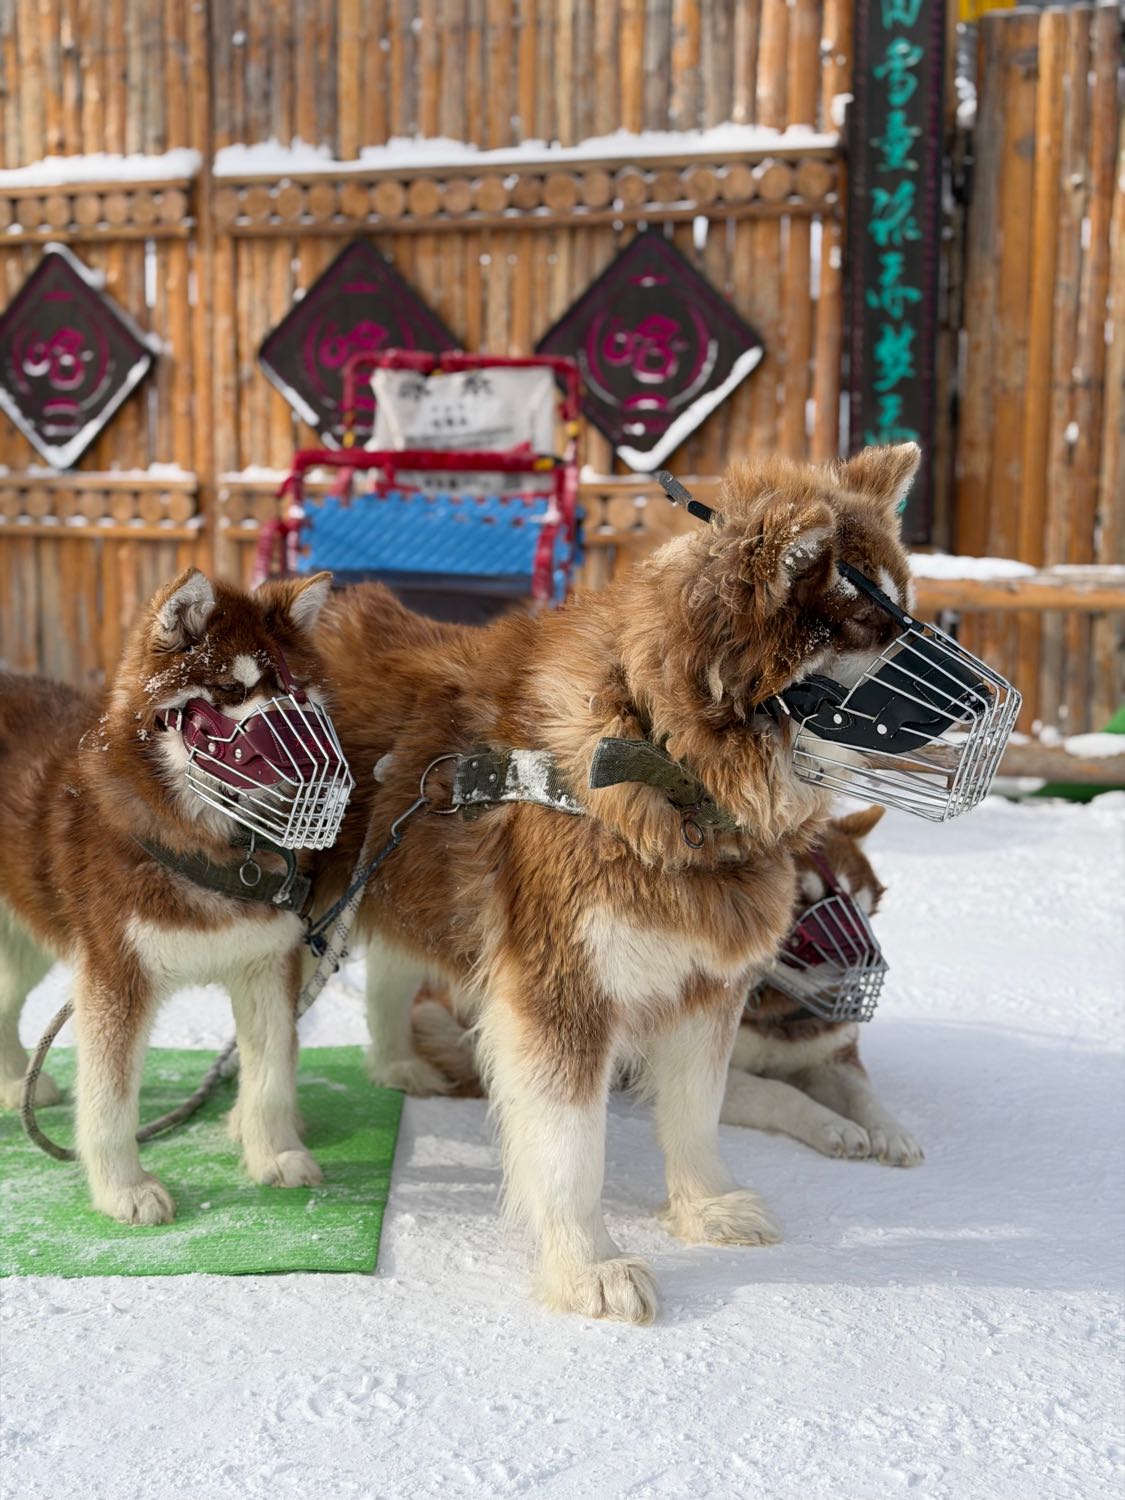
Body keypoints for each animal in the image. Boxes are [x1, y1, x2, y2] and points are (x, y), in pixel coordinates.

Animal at [0, 567, 339, 1225]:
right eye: (230, 690)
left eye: (297, 692)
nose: (310, 765)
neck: (213, 845)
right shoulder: (115, 978)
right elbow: (110, 1102)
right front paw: (123, 1190)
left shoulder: (267, 964)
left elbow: (270, 1077)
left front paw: (275, 1154)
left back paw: (13, 1082)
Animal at [315, 443, 921, 1322]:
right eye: (875, 628)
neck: (664, 761)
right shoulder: (560, 991)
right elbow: (571, 1152)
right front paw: (587, 1268)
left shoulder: (706, 986)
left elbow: (696, 1114)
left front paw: (705, 1208)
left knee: (394, 971)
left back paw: (396, 1066)